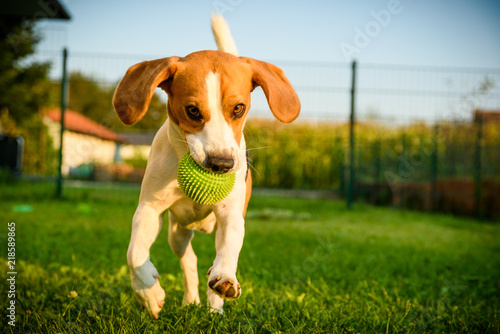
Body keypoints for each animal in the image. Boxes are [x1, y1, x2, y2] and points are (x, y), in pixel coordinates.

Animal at [112, 15, 300, 318]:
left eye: (238, 108)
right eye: (192, 110)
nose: (222, 164)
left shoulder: (232, 214)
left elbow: (229, 250)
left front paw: (224, 278)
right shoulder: (149, 209)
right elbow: (135, 252)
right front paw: (148, 293)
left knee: (212, 263)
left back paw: (215, 306)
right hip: (177, 233)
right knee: (188, 260)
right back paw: (191, 300)